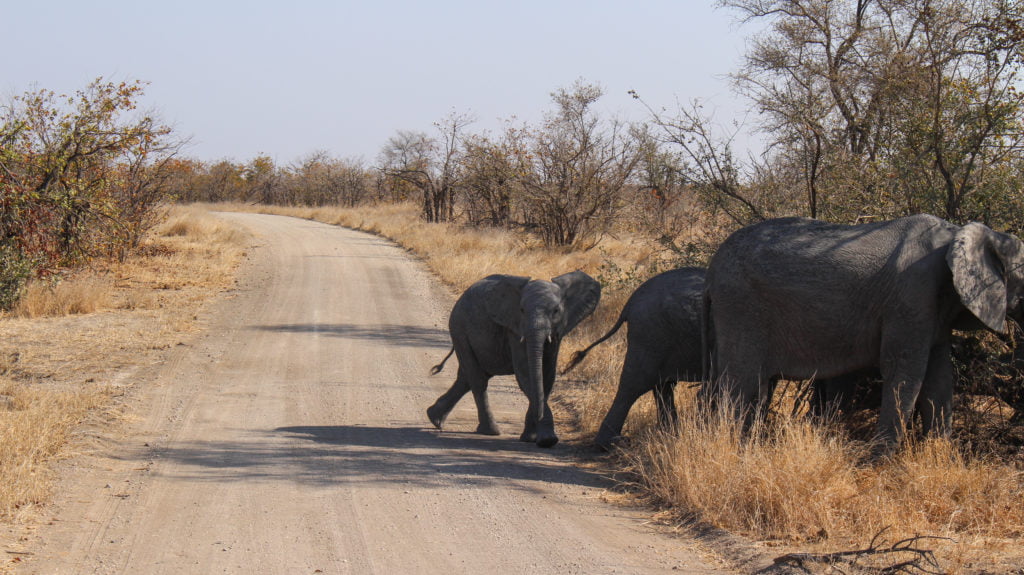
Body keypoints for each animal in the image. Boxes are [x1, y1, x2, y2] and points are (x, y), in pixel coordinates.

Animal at [427, 271, 601, 448]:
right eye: (522, 310)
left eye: (556, 311)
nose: (543, 440)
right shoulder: (515, 329)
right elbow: (525, 374)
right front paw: (546, 440)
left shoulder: (558, 330)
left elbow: (547, 376)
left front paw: (531, 438)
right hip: (459, 328)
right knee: (477, 380)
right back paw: (490, 431)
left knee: (466, 378)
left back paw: (434, 419)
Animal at [563, 267, 705, 450]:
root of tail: (630, 303)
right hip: (650, 332)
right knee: (635, 384)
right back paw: (614, 443)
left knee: (662, 385)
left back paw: (669, 435)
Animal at [702, 214, 1024, 454]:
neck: (959, 233)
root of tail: (712, 268)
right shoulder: (912, 296)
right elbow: (904, 371)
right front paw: (874, 464)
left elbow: (940, 378)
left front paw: (939, 457)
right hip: (740, 304)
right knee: (740, 381)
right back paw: (732, 449)